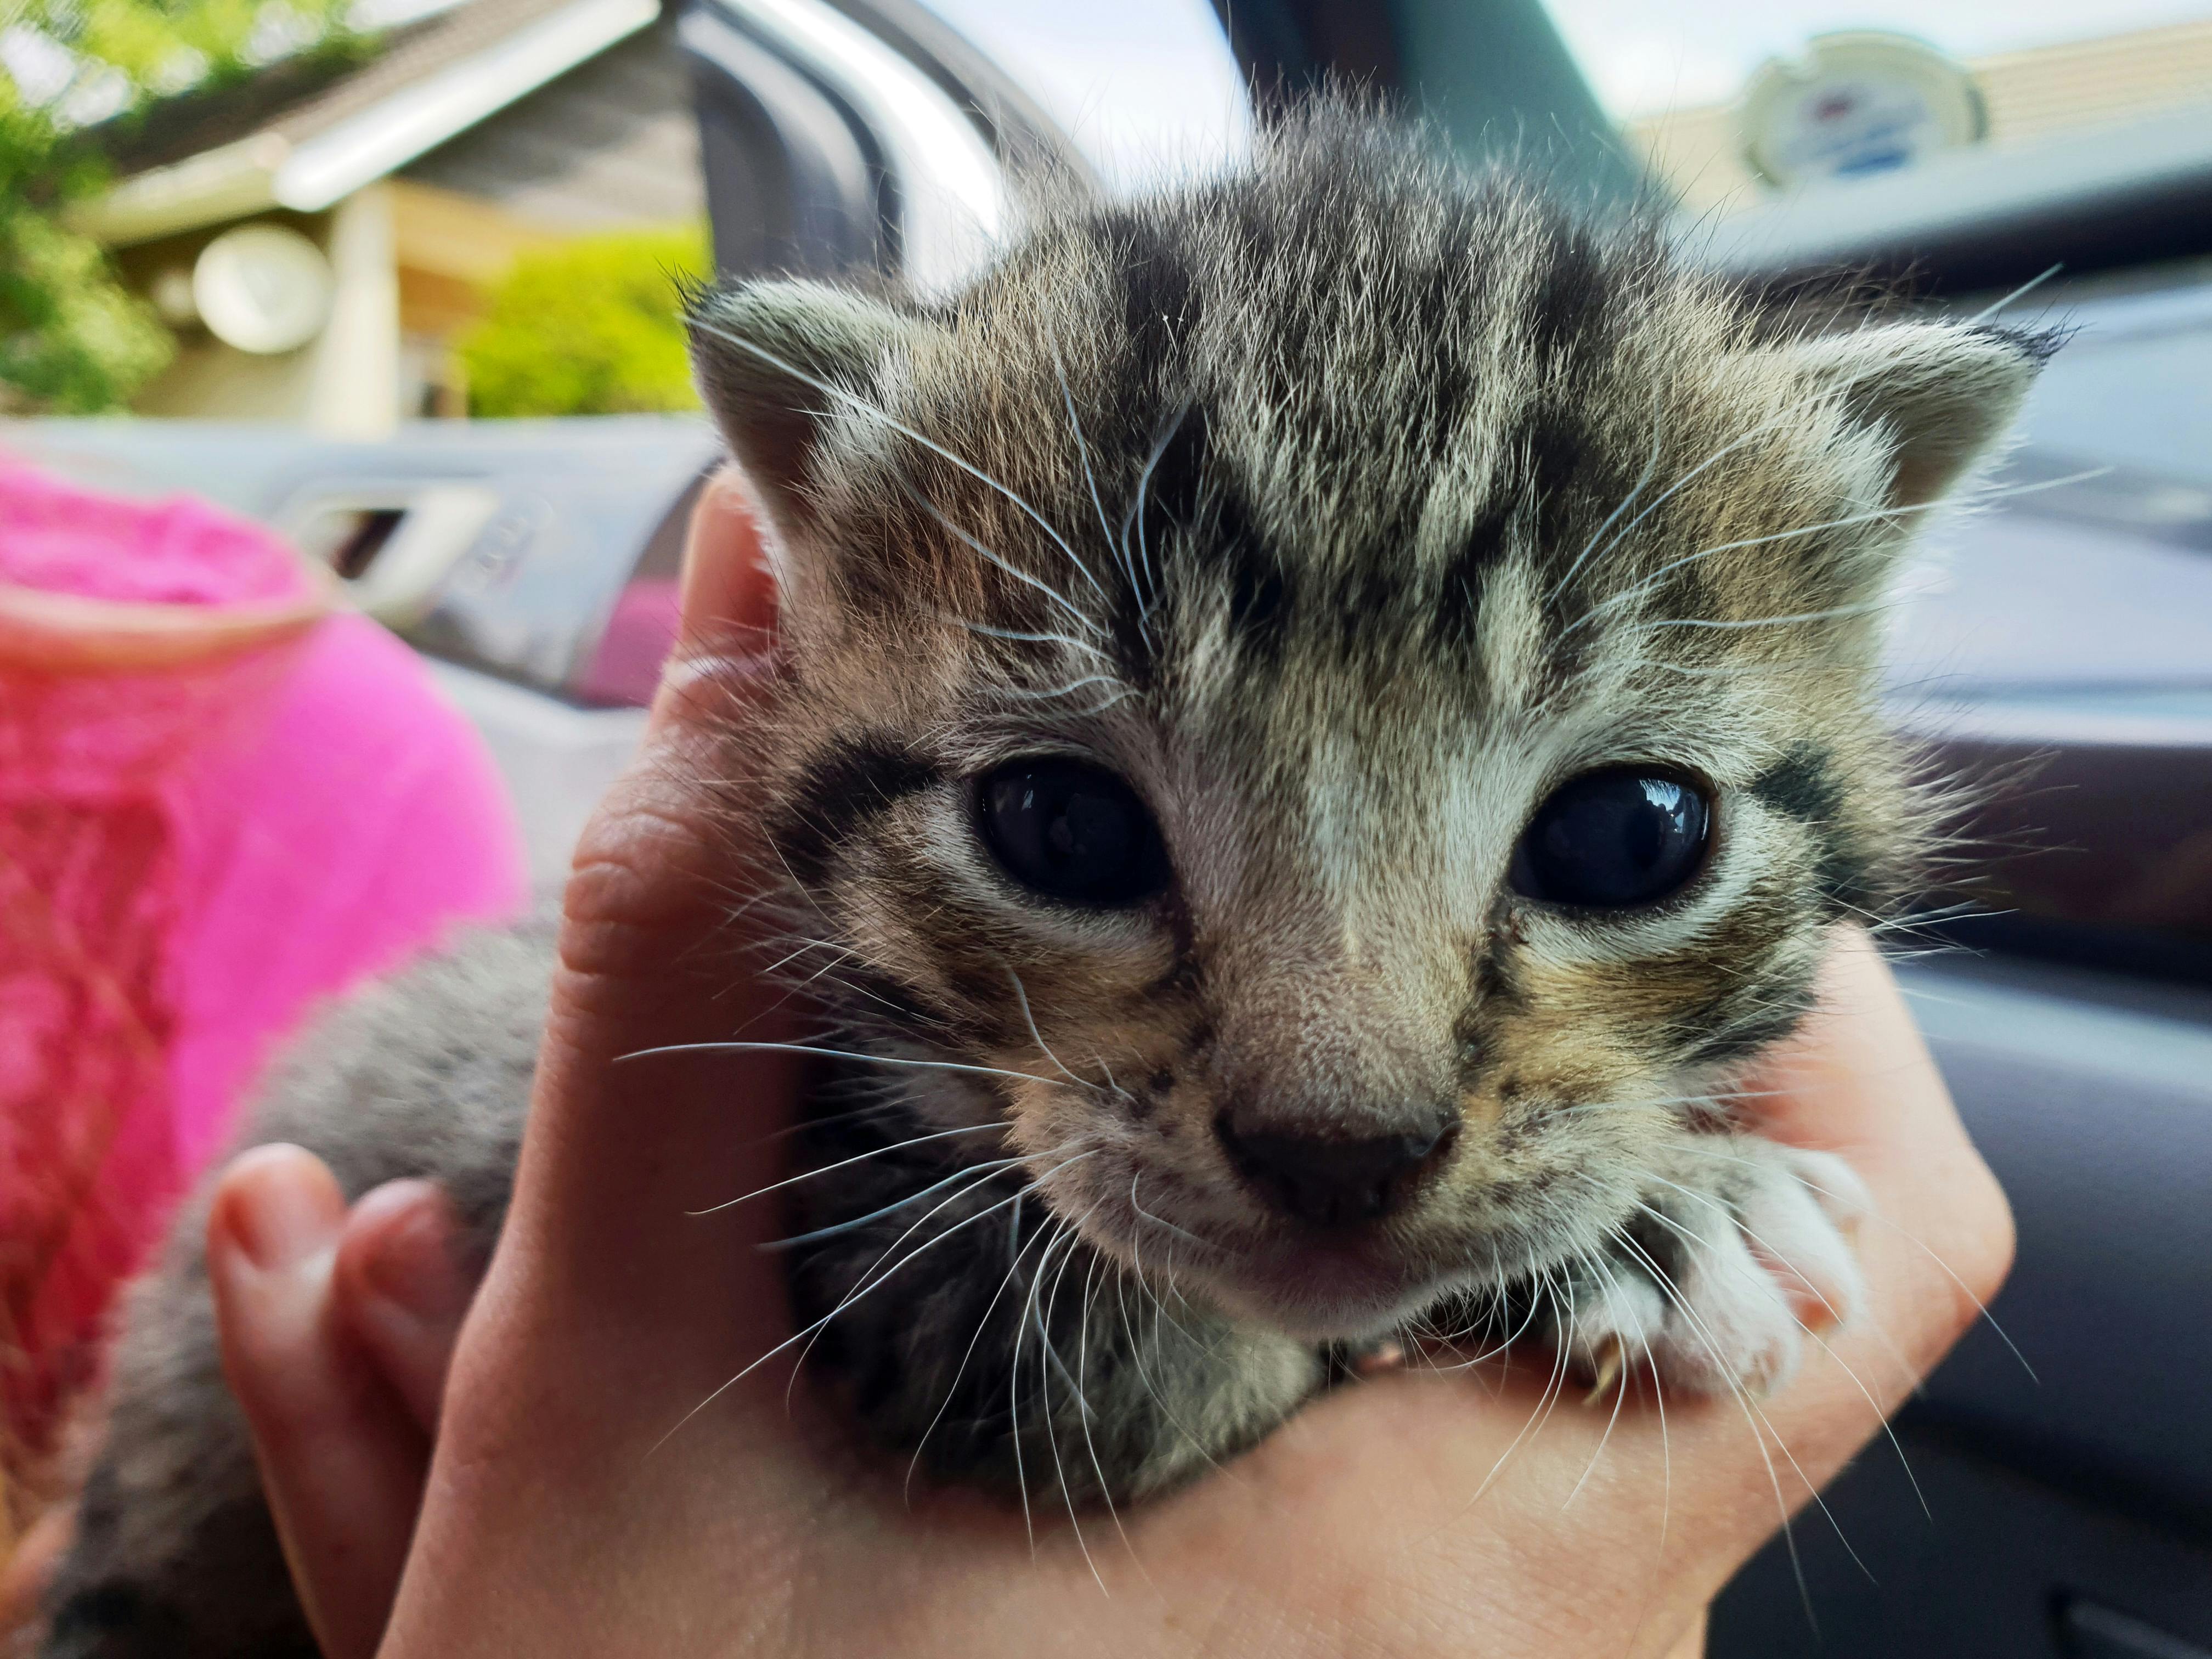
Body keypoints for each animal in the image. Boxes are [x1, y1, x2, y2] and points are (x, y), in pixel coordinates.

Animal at [35, 110, 2044, 1654]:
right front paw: (1663, 1222)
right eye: (1059, 832)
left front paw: (1658, 1200)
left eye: (1631, 835)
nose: (1339, 1149)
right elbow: (1123, 1358)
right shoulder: (855, 1266)